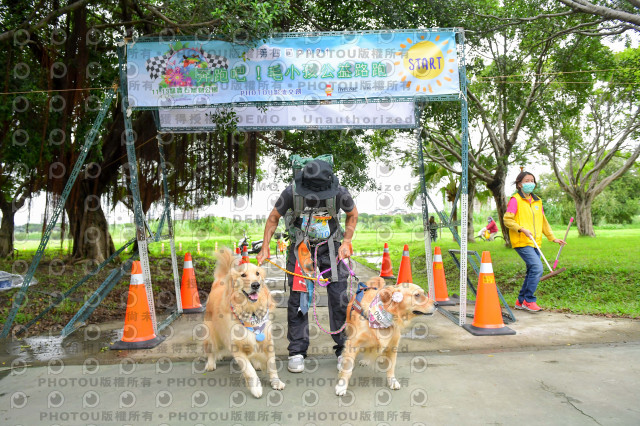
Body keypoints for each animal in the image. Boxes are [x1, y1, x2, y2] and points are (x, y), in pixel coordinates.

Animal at [205, 248, 284, 398]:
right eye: (243, 275)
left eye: (257, 273)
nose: (256, 285)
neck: (250, 311)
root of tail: (219, 281)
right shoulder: (236, 346)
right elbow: (249, 370)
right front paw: (256, 388)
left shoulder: (267, 340)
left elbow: (272, 365)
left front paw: (276, 382)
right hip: (211, 330)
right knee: (211, 348)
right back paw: (210, 363)